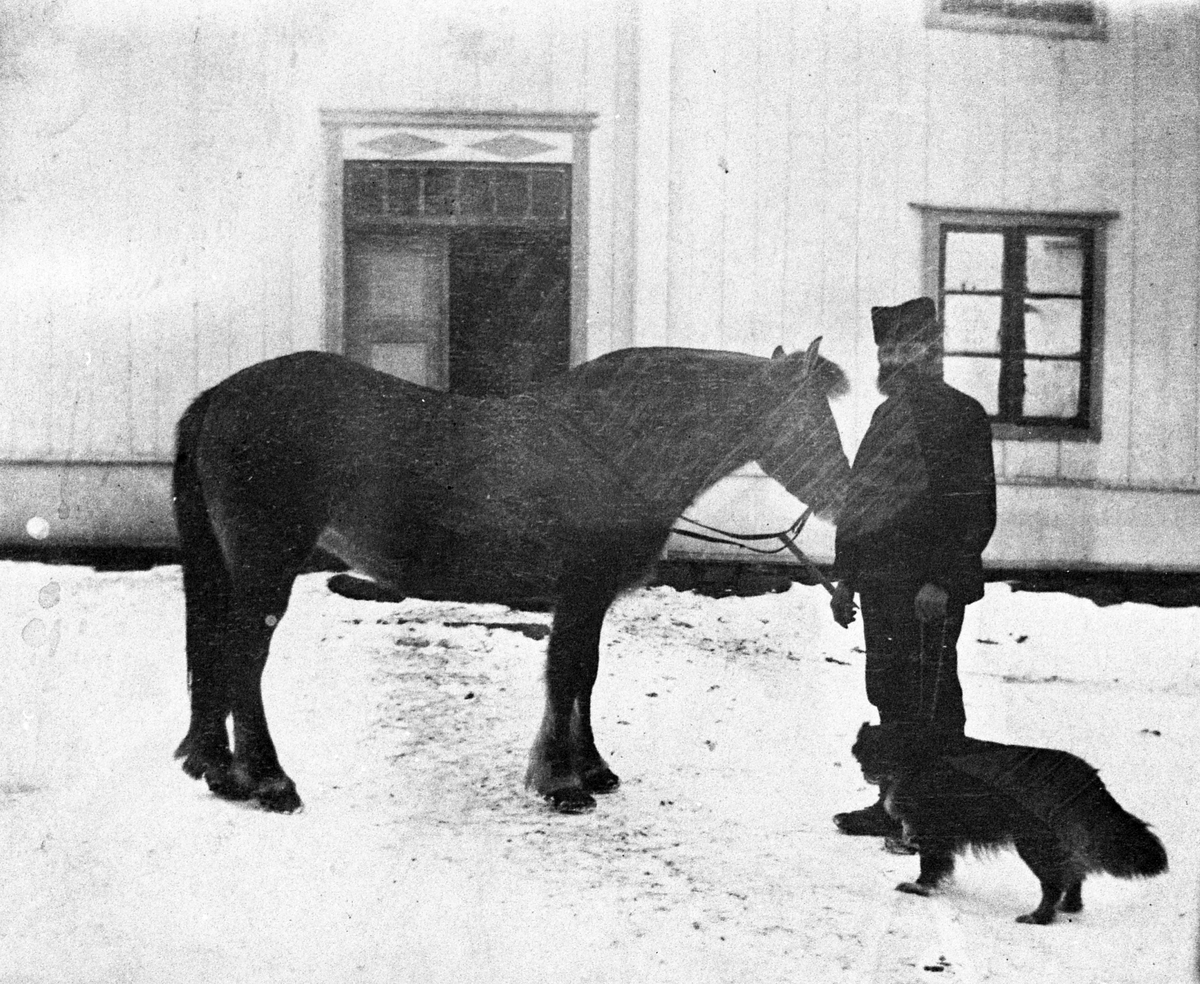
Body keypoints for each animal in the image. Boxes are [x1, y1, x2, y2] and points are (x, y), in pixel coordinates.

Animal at [174, 338, 854, 816]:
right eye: (815, 421)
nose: (849, 499)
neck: (613, 447)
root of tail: (221, 396)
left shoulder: (590, 599)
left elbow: (584, 674)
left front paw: (591, 770)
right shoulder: (580, 590)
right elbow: (566, 674)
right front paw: (561, 782)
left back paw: (220, 771)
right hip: (266, 567)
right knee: (243, 658)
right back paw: (268, 781)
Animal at [849, 724, 1166, 921]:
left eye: (881, 750)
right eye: (864, 748)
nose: (865, 768)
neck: (917, 756)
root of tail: (1085, 776)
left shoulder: (932, 828)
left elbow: (930, 864)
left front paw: (920, 887)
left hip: (1035, 843)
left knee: (1054, 882)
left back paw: (1039, 917)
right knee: (1073, 873)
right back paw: (1069, 906)